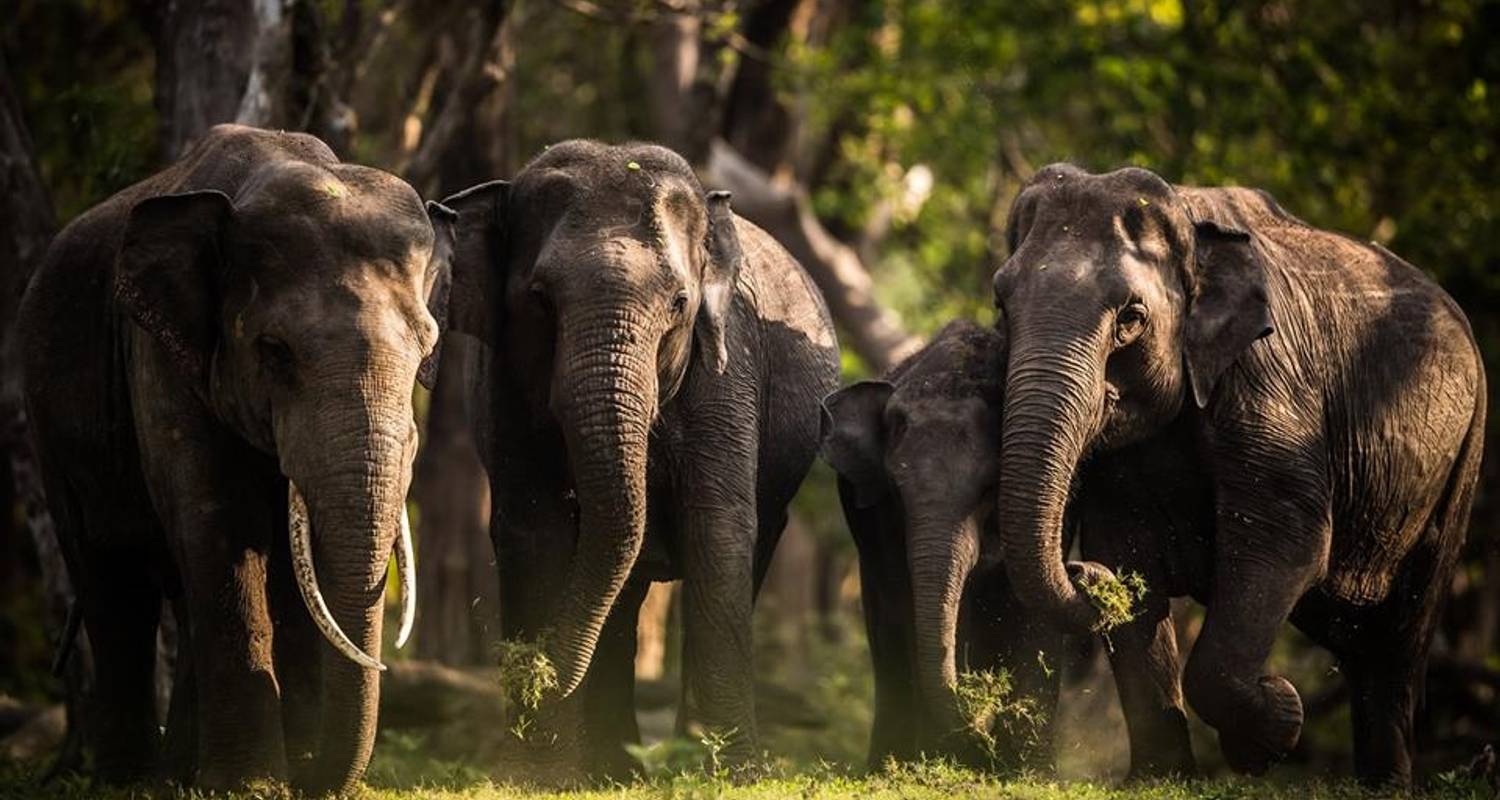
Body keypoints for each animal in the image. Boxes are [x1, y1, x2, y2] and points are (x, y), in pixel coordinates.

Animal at [19, 124, 450, 792]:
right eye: (275, 351)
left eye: (428, 347)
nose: (315, 778)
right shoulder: (161, 357)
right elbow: (219, 527)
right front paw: (252, 787)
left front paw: (285, 772)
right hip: (50, 426)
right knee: (111, 584)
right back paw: (129, 781)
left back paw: (177, 776)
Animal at [438, 140, 846, 774]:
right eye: (539, 299)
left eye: (679, 302)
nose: (538, 671)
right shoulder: (500, 388)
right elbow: (534, 529)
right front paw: (538, 775)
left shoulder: (729, 370)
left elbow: (718, 528)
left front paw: (732, 775)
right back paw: (613, 769)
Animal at [990, 163, 1482, 786]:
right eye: (1001, 306)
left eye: (1131, 318)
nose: (1080, 573)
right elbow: (1126, 551)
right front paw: (1162, 779)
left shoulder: (1269, 382)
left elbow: (1285, 541)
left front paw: (1270, 734)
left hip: (1462, 459)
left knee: (1400, 637)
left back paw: (1385, 786)